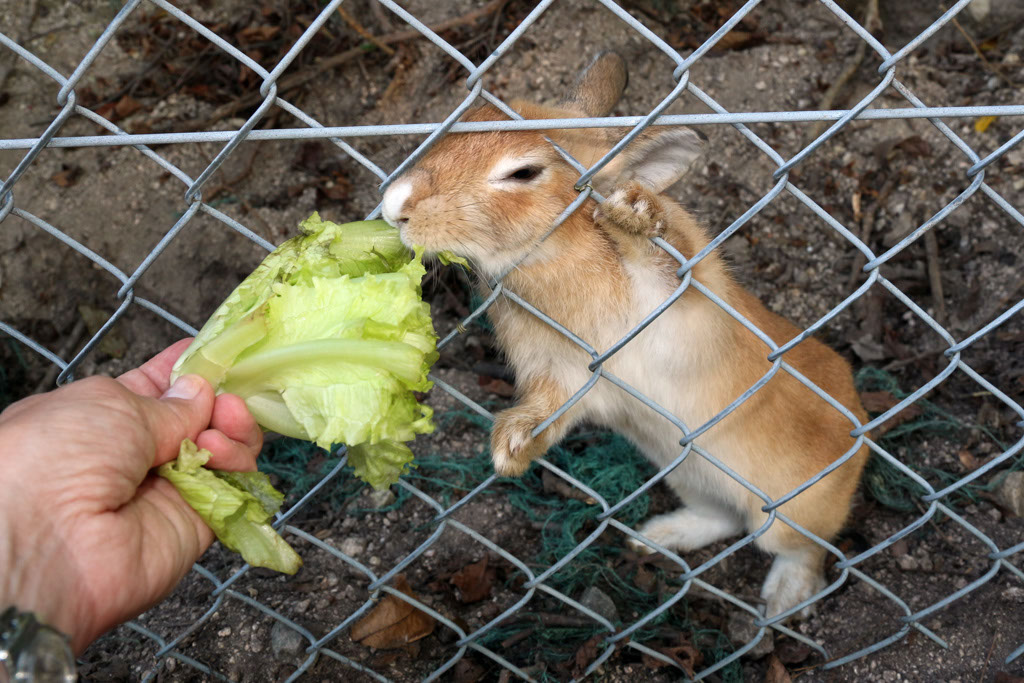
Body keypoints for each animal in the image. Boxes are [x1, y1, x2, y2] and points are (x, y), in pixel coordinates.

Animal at [380, 52, 869, 619]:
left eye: (524, 172)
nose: (395, 206)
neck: (555, 251)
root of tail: (861, 431)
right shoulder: (566, 379)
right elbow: (550, 407)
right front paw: (512, 447)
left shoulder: (681, 308)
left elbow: (660, 262)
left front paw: (632, 213)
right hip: (687, 475)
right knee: (724, 518)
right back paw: (657, 537)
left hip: (794, 510)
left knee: (801, 548)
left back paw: (784, 598)